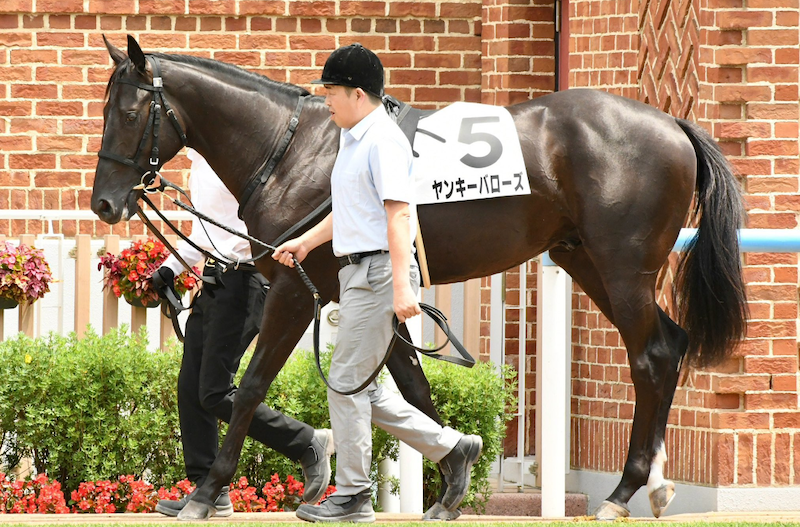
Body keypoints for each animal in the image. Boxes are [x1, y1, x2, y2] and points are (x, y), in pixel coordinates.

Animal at [90, 36, 748, 520]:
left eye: (129, 113)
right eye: (103, 111)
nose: (104, 203)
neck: (295, 150)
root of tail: (673, 126)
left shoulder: (295, 289)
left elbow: (250, 387)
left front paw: (204, 495)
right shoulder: (370, 298)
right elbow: (413, 388)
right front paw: (449, 481)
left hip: (623, 266)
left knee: (652, 356)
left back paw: (622, 492)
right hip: (584, 259)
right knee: (668, 346)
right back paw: (653, 485)